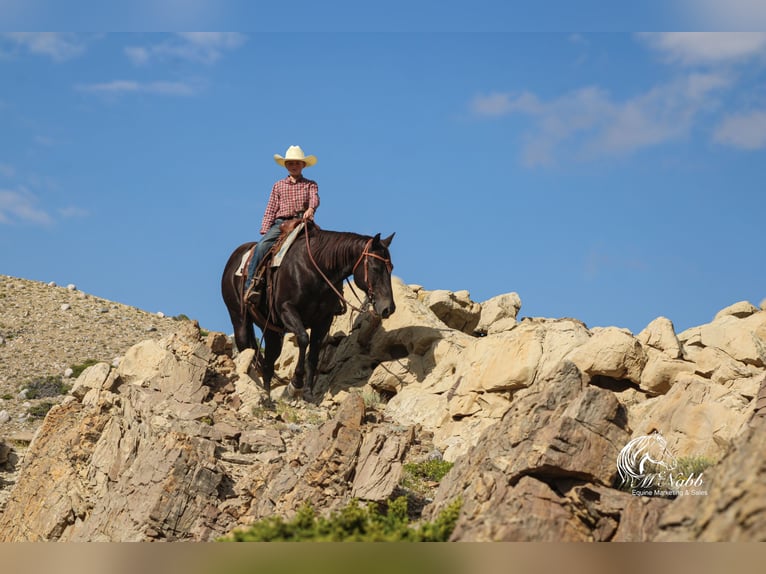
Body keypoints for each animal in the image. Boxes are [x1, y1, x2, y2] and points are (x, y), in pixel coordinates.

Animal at [221, 222, 395, 400]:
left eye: (391, 268)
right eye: (375, 268)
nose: (388, 308)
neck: (314, 270)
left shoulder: (323, 320)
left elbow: (313, 354)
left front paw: (308, 394)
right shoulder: (287, 310)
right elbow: (304, 339)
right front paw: (296, 384)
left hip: (271, 330)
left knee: (269, 361)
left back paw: (267, 394)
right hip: (239, 318)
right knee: (246, 349)